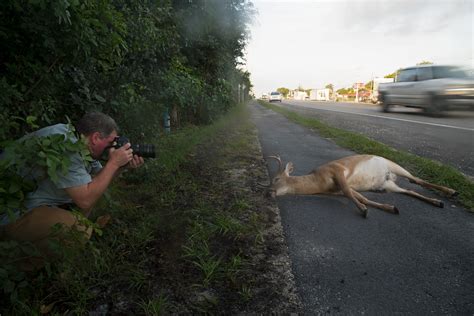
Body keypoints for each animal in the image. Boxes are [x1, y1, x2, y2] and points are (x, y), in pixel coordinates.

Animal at [262, 155, 458, 218]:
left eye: (276, 179)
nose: (267, 192)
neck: (317, 180)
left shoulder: (337, 171)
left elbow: (351, 194)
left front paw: (363, 210)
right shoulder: (337, 191)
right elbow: (361, 196)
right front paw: (390, 208)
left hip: (396, 166)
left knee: (416, 180)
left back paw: (451, 192)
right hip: (388, 185)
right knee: (409, 190)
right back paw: (438, 202)